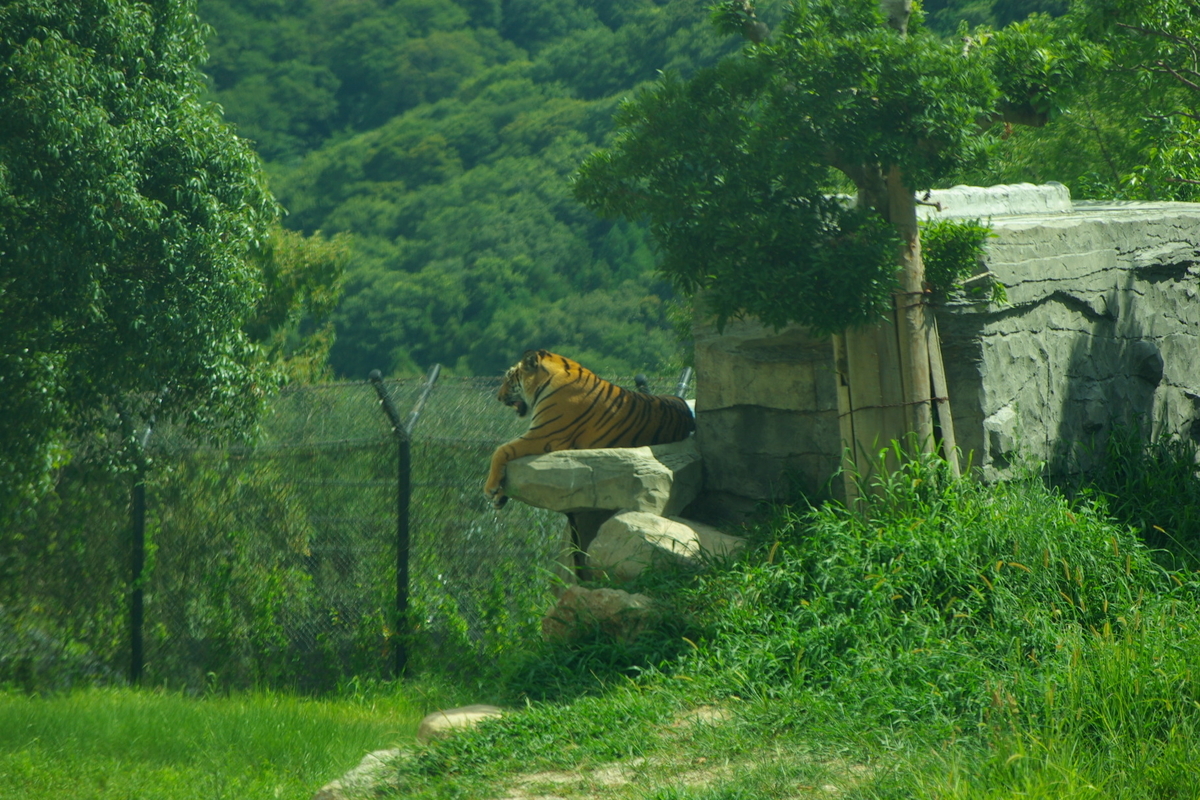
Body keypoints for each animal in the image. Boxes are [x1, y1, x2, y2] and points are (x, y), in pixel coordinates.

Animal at [484, 347, 700, 510]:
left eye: (509, 378)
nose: (498, 397)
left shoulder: (543, 435)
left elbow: (501, 450)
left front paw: (490, 488)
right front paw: (499, 495)